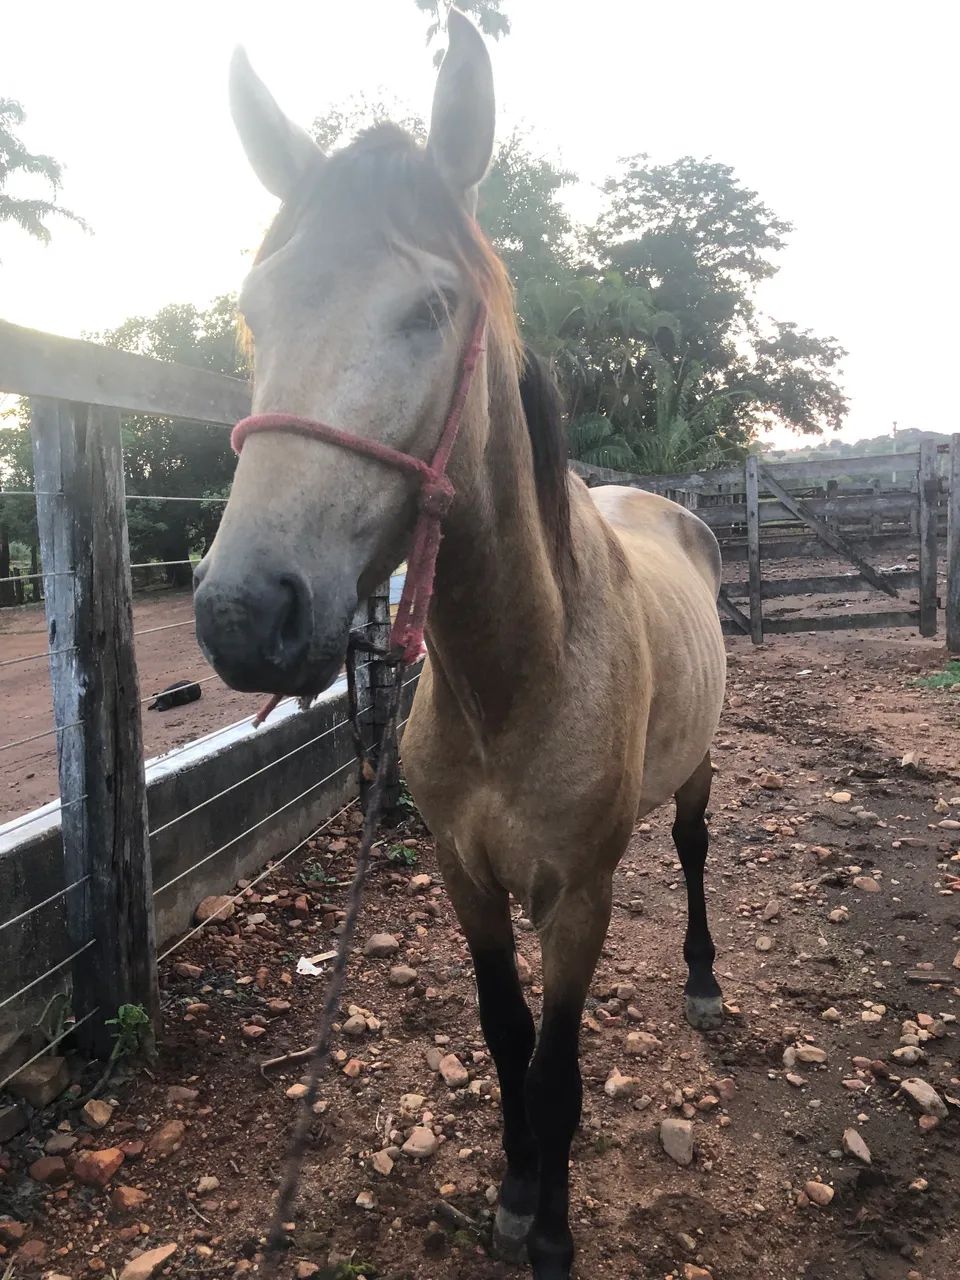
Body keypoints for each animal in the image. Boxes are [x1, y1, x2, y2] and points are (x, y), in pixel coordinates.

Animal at [194, 12, 727, 1277]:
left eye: (430, 311)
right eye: (256, 309)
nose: (244, 613)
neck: (517, 680)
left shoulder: (579, 897)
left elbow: (560, 1065)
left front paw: (555, 1230)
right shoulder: (465, 878)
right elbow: (502, 1031)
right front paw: (518, 1188)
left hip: (693, 772)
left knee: (691, 850)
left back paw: (700, 977)